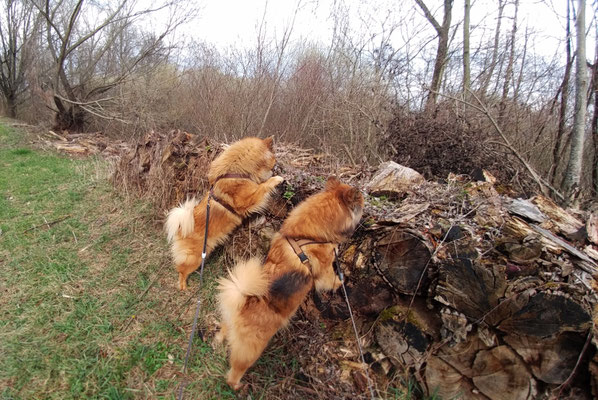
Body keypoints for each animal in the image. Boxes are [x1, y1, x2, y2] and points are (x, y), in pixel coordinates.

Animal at [165, 136, 284, 290]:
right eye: (274, 159)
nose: (278, 166)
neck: (237, 170)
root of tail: (181, 228)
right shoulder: (248, 199)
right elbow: (263, 186)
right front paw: (277, 179)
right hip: (194, 258)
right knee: (181, 270)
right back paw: (184, 286)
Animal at [217, 177, 366, 390]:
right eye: (360, 203)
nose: (365, 201)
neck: (307, 236)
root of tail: (244, 301)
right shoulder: (325, 270)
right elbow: (332, 278)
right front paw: (341, 282)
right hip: (251, 349)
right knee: (236, 371)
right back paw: (237, 385)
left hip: (229, 325)